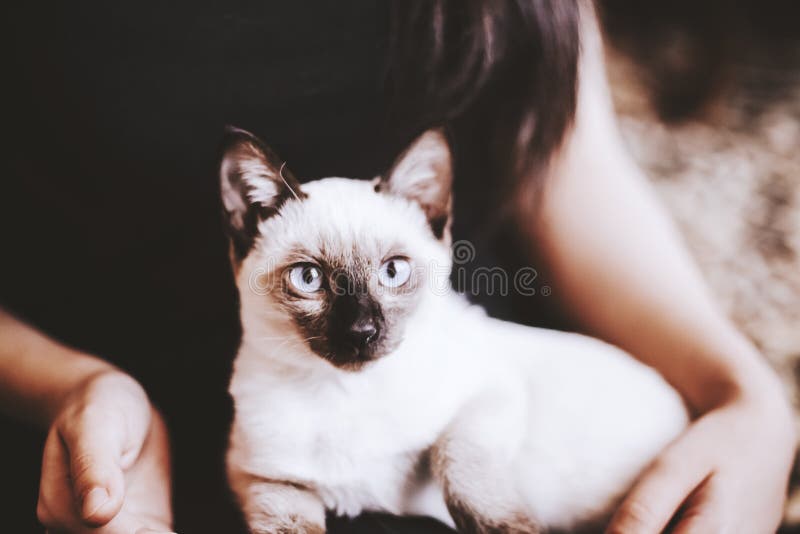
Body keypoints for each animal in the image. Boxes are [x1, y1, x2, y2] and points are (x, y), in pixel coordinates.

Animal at [222, 126, 692, 534]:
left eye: (393, 271)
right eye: (308, 278)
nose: (361, 331)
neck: (347, 393)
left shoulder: (492, 392)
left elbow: (458, 461)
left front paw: (507, 528)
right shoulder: (262, 476)